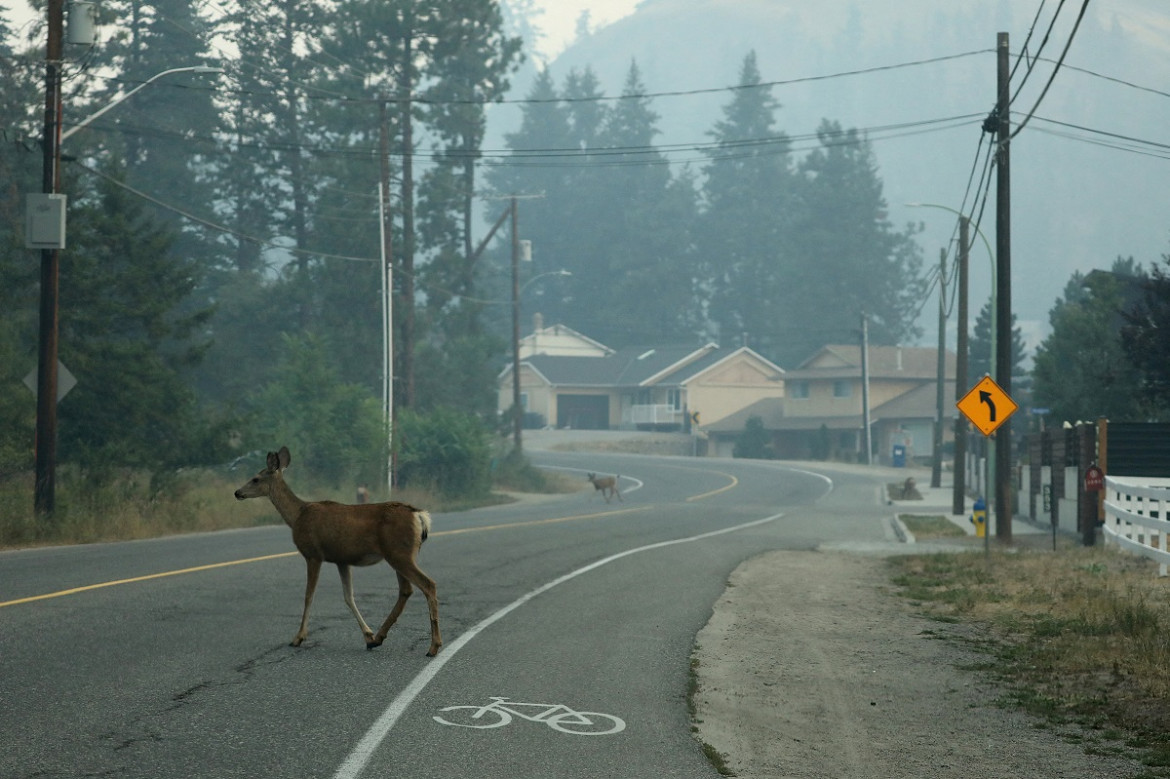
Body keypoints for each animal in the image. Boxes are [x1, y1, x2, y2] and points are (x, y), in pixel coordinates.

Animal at [233, 442, 442, 655]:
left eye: (255, 478)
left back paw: (433, 646)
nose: (237, 492)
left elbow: (308, 596)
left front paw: (298, 637)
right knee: (406, 590)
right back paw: (378, 638)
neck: (297, 515)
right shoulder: (342, 560)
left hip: (399, 554)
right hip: (398, 555)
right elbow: (348, 597)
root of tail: (419, 515)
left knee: (428, 584)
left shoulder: (313, 554)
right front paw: (367, 635)